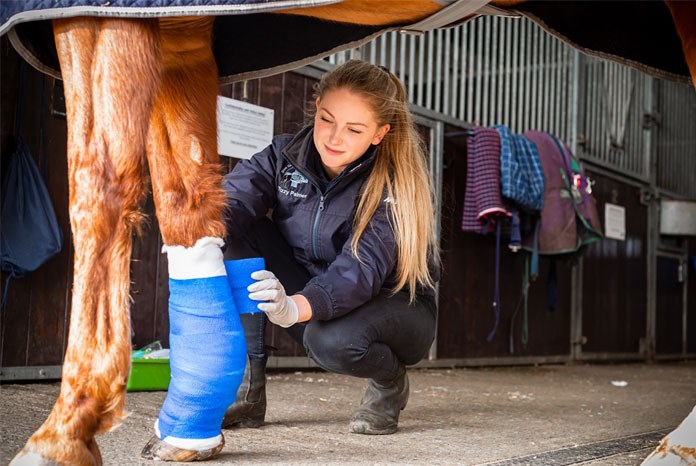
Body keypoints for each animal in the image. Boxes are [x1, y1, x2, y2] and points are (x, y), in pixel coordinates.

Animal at [5, 0, 696, 466]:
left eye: (351, 129)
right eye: (328, 126)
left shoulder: (108, 15)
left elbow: (97, 189)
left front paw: (66, 432)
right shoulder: (179, 31)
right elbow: (192, 205)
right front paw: (188, 432)